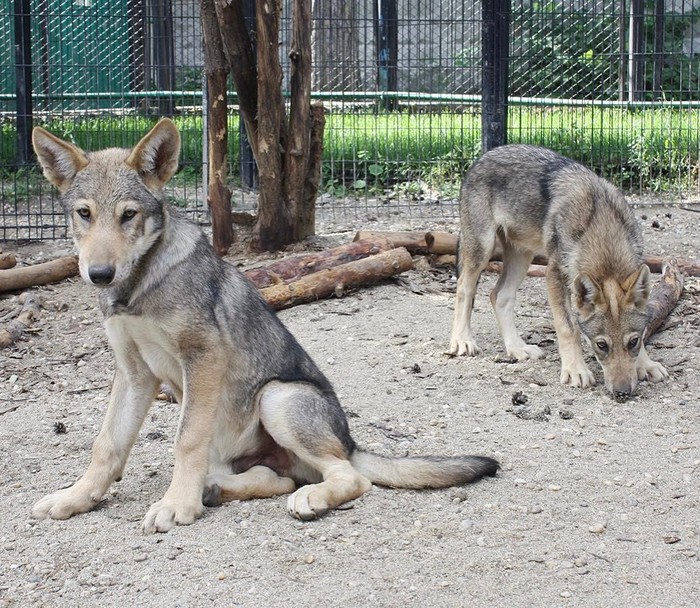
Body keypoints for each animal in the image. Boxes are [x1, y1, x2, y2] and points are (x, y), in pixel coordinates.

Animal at [30, 119, 494, 532]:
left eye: (129, 215)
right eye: (84, 214)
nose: (100, 274)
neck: (139, 287)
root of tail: (351, 442)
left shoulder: (203, 358)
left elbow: (185, 439)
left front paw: (176, 505)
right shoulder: (133, 374)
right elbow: (107, 443)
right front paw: (77, 496)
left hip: (276, 397)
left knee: (348, 477)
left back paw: (307, 498)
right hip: (233, 440)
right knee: (277, 478)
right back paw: (216, 490)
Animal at [448, 142, 668, 400]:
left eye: (632, 342)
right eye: (601, 345)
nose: (622, 392)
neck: (601, 229)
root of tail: (484, 156)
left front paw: (646, 364)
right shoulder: (554, 273)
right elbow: (568, 327)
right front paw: (575, 370)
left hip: (522, 256)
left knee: (498, 295)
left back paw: (517, 348)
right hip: (483, 248)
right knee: (464, 288)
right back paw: (462, 341)